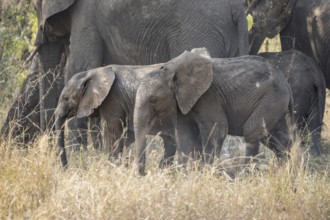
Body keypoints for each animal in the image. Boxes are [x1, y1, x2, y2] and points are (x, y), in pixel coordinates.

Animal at [34, 0, 250, 150]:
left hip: (198, 30)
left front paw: (79, 162)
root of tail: (237, 8)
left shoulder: (86, 18)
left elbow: (79, 68)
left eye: (36, 7)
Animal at [133, 50, 294, 174]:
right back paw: (288, 172)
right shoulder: (182, 101)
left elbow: (216, 131)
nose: (144, 174)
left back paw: (245, 175)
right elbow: (185, 134)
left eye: (153, 99)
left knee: (251, 132)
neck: (169, 69)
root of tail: (285, 83)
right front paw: (187, 175)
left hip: (271, 99)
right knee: (277, 139)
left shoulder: (209, 96)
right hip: (276, 103)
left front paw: (208, 173)